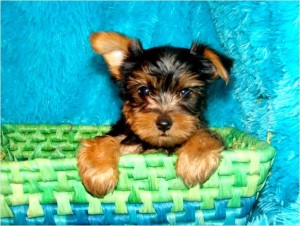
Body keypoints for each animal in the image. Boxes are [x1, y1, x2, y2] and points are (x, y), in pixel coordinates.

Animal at [77, 31, 232, 196]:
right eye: (144, 90)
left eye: (185, 92)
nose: (164, 124)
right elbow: (102, 141)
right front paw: (98, 173)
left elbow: (204, 135)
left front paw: (195, 162)